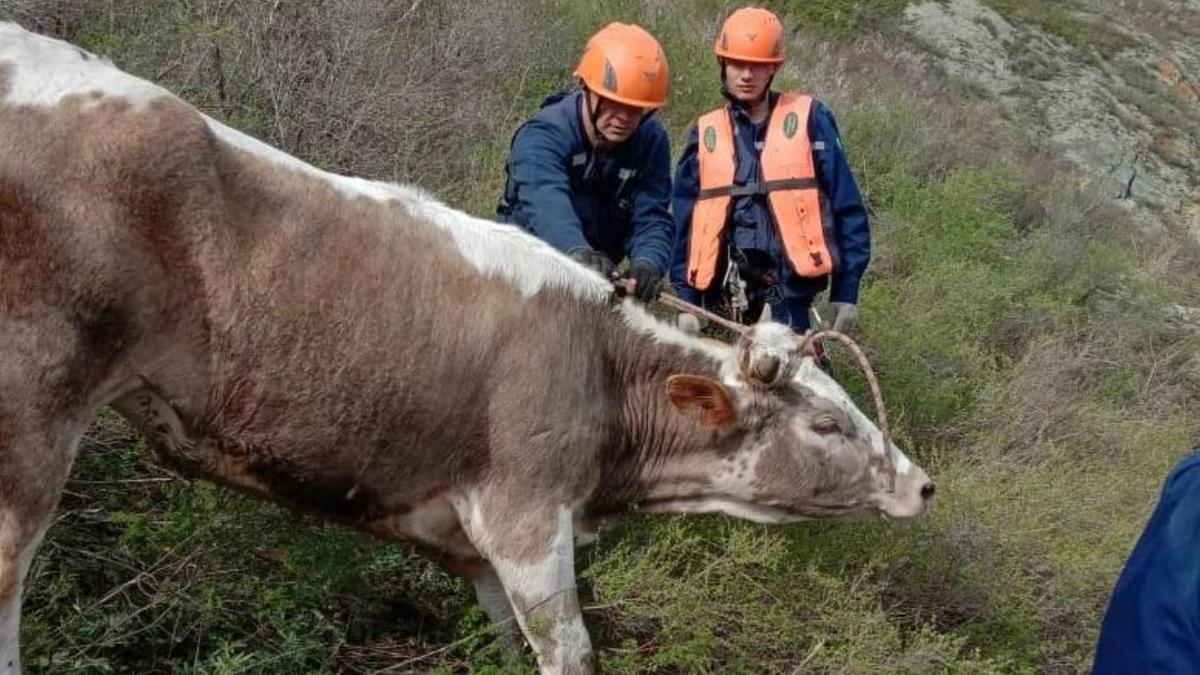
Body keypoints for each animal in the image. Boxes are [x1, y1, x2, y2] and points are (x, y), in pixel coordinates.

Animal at [0, 22, 936, 672]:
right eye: (825, 424)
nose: (921, 483)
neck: (604, 369)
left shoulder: (469, 541)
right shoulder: (527, 511)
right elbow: (569, 649)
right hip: (32, 410)